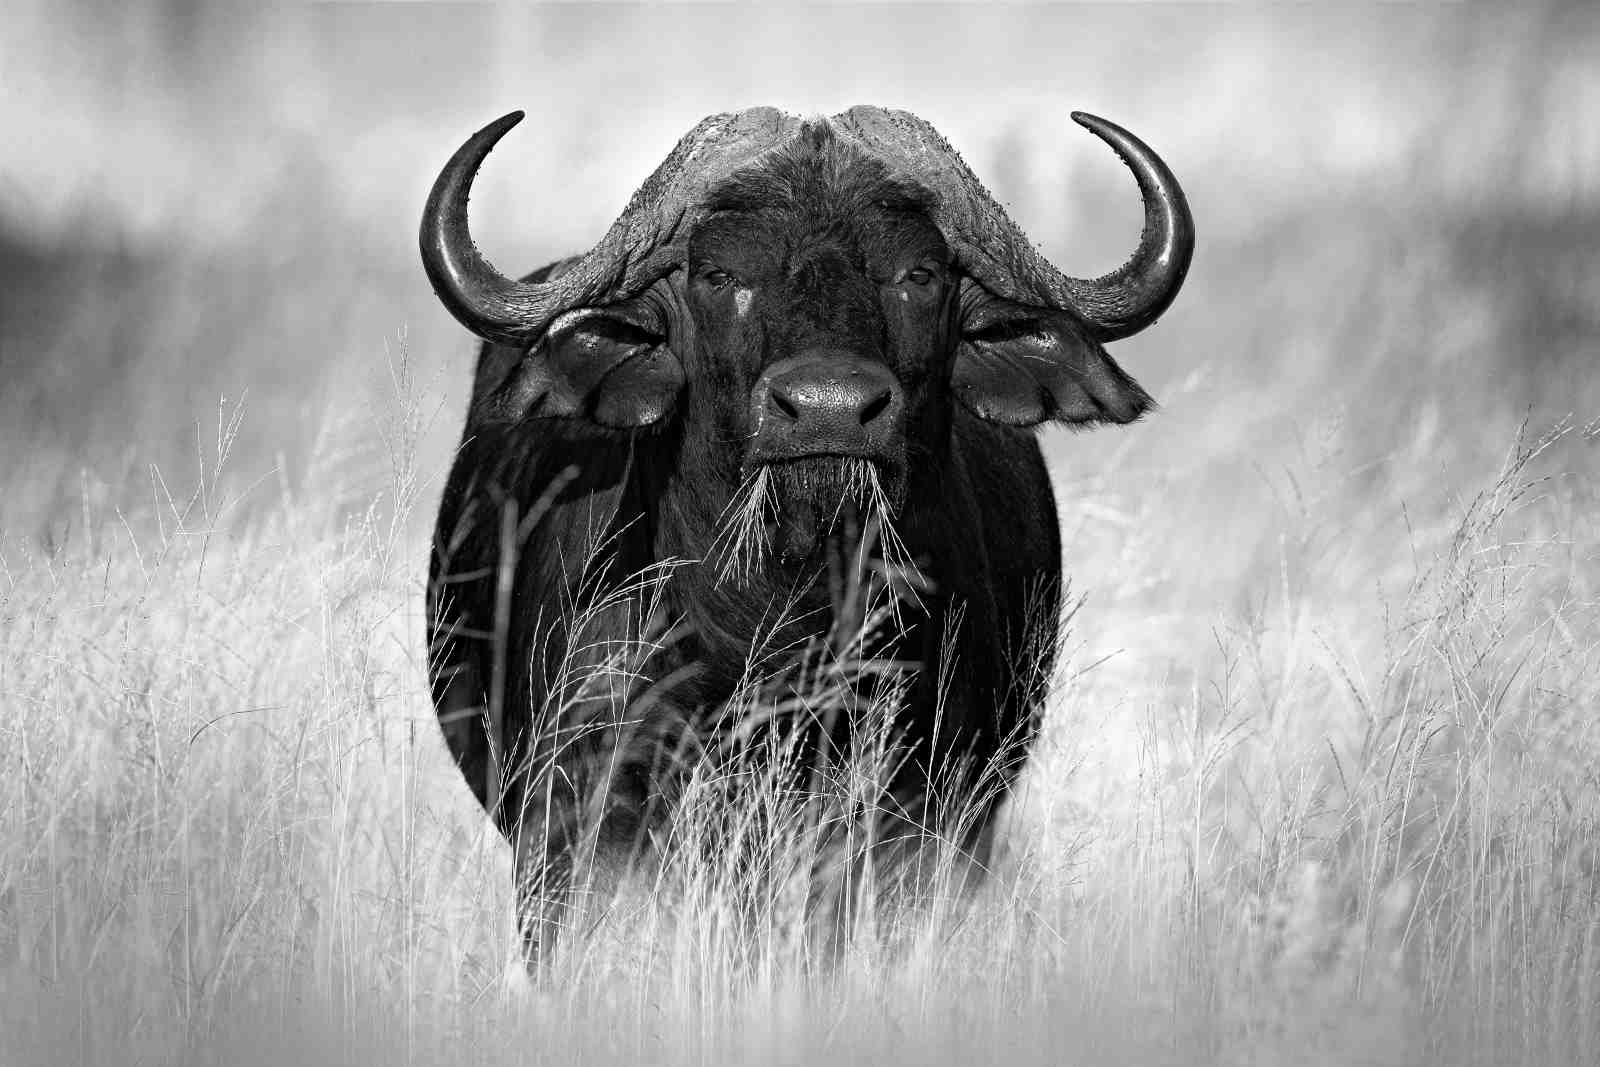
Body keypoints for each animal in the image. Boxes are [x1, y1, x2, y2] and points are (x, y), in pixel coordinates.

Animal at [421, 106, 1192, 963]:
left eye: (920, 274)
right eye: (718, 275)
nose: (829, 408)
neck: (776, 632)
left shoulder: (920, 822)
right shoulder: (572, 826)